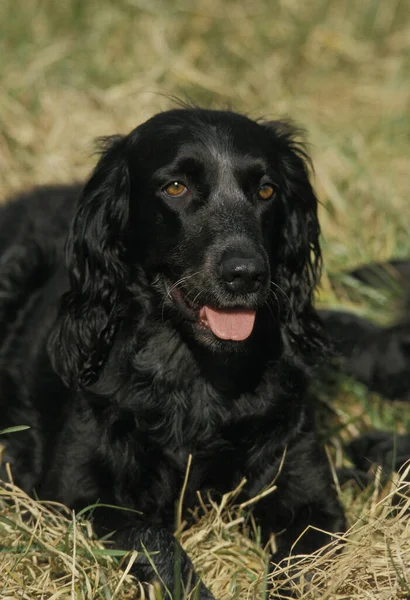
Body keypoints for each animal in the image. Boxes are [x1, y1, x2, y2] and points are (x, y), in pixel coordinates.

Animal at [0, 108, 344, 596]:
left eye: (266, 189)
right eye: (176, 187)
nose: (246, 274)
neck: (195, 372)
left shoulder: (309, 494)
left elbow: (302, 562)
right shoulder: (77, 494)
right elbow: (155, 539)